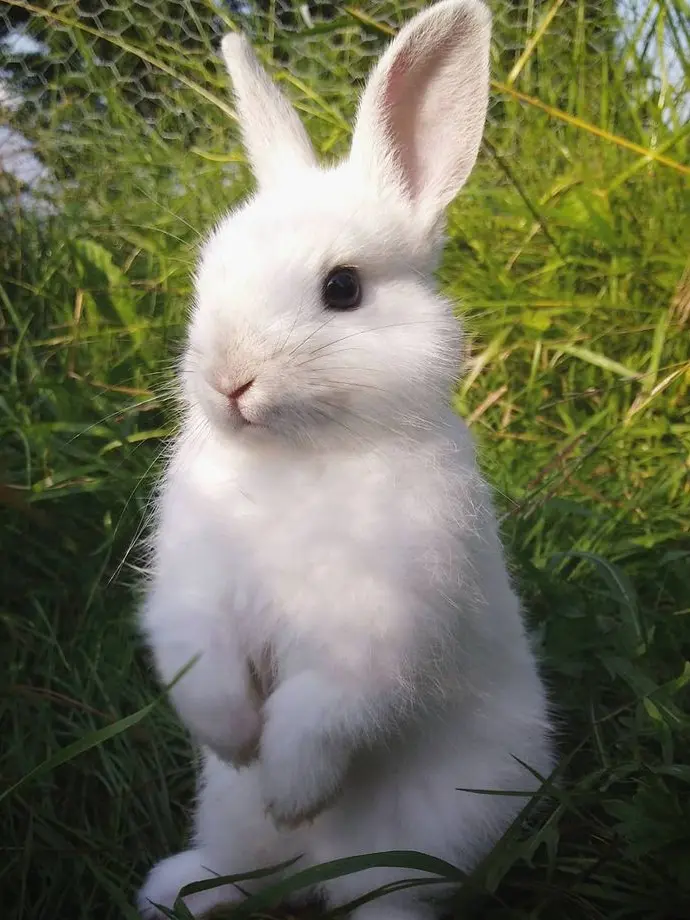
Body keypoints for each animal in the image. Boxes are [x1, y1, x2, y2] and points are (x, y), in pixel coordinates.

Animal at [136, 2, 554, 919]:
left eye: (343, 289)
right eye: (209, 274)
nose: (228, 381)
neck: (296, 459)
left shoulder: (377, 629)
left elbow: (321, 711)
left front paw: (291, 788)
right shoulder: (194, 594)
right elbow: (204, 671)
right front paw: (238, 741)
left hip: (429, 833)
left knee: (381, 893)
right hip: (221, 811)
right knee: (241, 863)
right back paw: (173, 887)